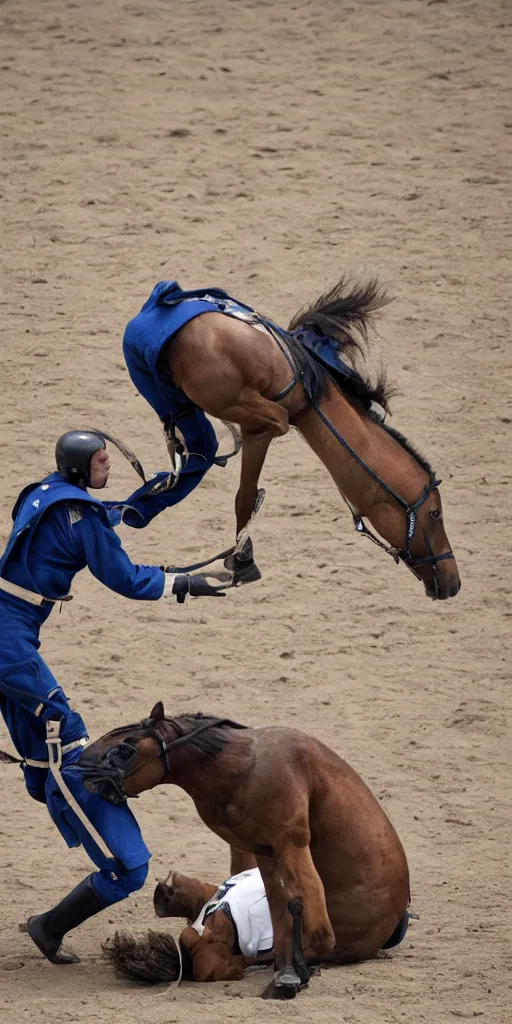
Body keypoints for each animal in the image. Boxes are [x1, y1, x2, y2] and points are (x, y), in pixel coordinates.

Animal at [148, 276, 460, 600]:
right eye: (435, 513)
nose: (454, 581)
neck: (310, 395)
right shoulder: (260, 425)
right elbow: (245, 495)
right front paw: (242, 560)